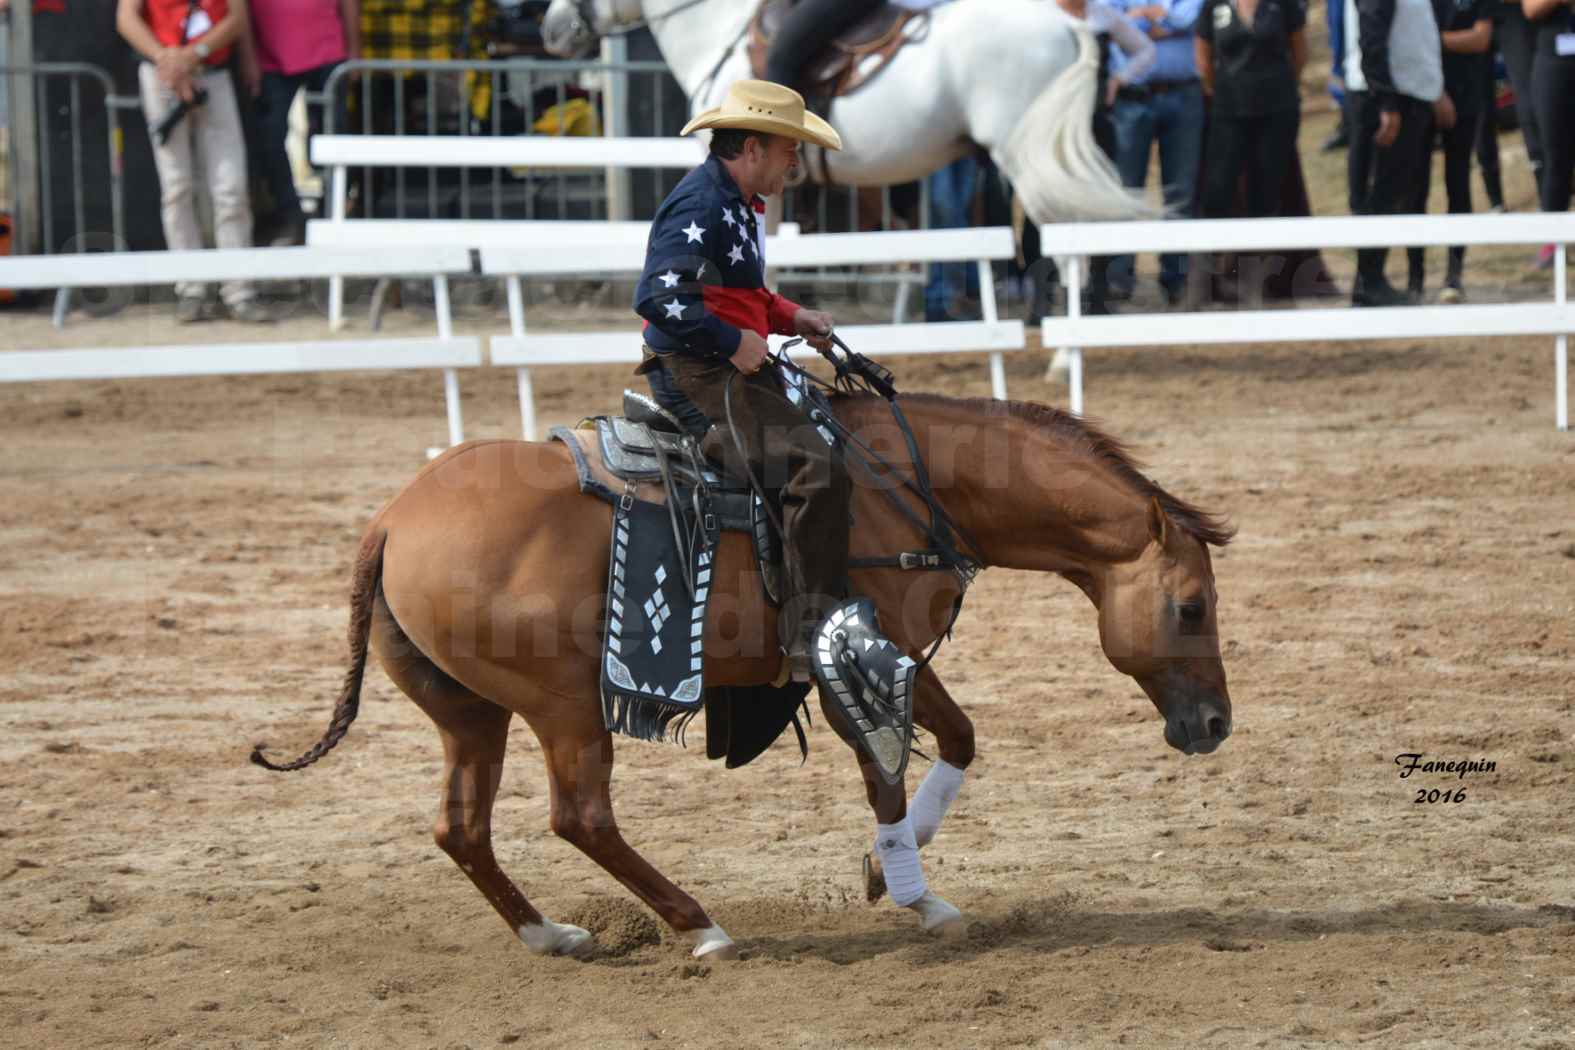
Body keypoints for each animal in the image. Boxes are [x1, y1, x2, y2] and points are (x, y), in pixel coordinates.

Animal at [252, 391, 1234, 963]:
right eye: (1191, 607)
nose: (1216, 724)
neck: (903, 487)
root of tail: (390, 519)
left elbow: (945, 743)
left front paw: (891, 873)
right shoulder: (861, 649)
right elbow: (899, 763)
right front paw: (912, 891)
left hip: (471, 716)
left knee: (461, 829)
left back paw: (552, 933)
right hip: (564, 707)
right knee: (581, 817)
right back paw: (701, 928)